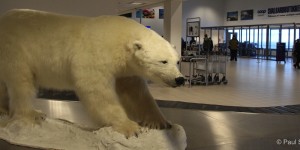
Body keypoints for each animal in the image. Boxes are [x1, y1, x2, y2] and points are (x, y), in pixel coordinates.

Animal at [0, 9, 185, 138]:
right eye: (163, 61)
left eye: (177, 60)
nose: (180, 79)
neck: (117, 39)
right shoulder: (94, 54)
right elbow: (97, 91)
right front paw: (130, 127)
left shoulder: (125, 69)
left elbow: (136, 93)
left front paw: (160, 122)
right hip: (14, 49)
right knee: (21, 83)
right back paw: (33, 115)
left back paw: (3, 110)